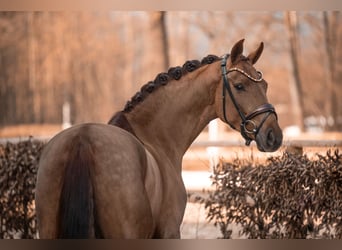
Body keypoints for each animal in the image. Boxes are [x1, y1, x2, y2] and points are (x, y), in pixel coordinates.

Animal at [34, 38, 282, 238]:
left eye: (265, 85)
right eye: (239, 86)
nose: (274, 136)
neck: (154, 137)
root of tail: (82, 140)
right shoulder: (170, 231)